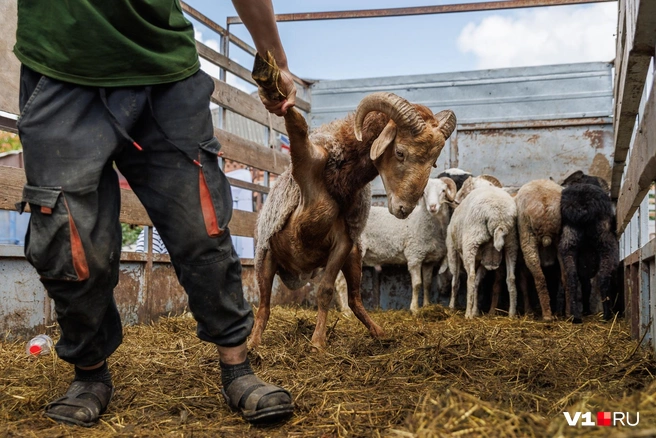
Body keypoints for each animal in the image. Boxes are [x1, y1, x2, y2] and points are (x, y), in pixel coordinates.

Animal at [358, 178, 456, 314]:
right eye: (424, 193)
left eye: (443, 190)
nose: (432, 207)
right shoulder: (414, 256)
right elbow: (417, 284)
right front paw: (414, 309)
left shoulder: (429, 261)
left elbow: (427, 283)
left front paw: (427, 306)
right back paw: (346, 311)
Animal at [446, 183, 516, 316]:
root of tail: (498, 218)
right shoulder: (484, 260)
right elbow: (478, 283)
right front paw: (475, 311)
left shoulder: (453, 250)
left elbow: (455, 281)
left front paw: (453, 307)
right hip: (511, 244)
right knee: (511, 278)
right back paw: (512, 314)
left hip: (471, 243)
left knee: (470, 277)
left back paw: (467, 314)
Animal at [556, 170, 616, 322]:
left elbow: (585, 284)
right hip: (606, 244)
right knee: (603, 277)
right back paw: (606, 316)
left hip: (569, 242)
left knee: (571, 277)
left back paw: (576, 317)